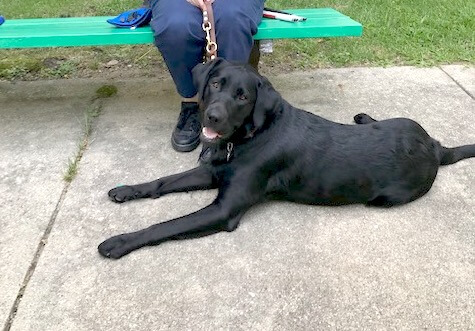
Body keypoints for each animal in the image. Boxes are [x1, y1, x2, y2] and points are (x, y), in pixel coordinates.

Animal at [98, 59, 474, 260]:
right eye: (216, 83)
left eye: (243, 97)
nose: (212, 117)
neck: (248, 138)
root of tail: (435, 147)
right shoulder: (213, 171)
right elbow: (163, 181)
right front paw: (127, 189)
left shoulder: (223, 210)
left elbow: (166, 225)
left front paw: (120, 241)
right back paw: (363, 117)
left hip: (388, 196)